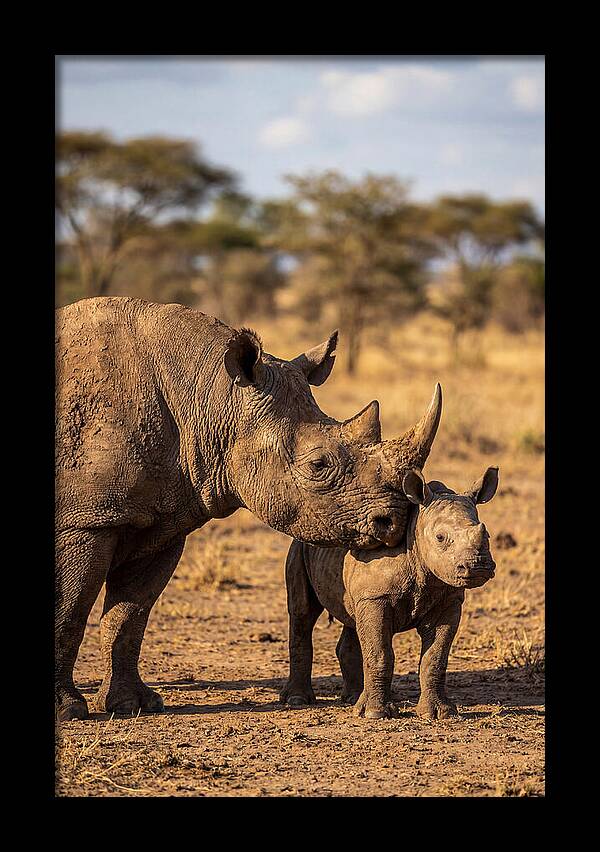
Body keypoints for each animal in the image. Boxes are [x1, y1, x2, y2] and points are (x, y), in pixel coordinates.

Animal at [55, 297, 441, 721]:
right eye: (318, 465)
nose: (394, 521)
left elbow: (129, 615)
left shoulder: (163, 521)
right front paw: (68, 711)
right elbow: (70, 609)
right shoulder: (85, 521)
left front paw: (132, 705)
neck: (210, 397)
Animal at [280, 465, 499, 720]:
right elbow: (380, 653)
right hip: (299, 546)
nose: (478, 566)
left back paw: (353, 698)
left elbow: (435, 657)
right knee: (303, 613)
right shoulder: (376, 597)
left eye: (487, 535)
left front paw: (439, 713)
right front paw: (376, 714)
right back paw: (298, 700)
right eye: (440, 538)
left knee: (352, 618)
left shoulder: (448, 601)